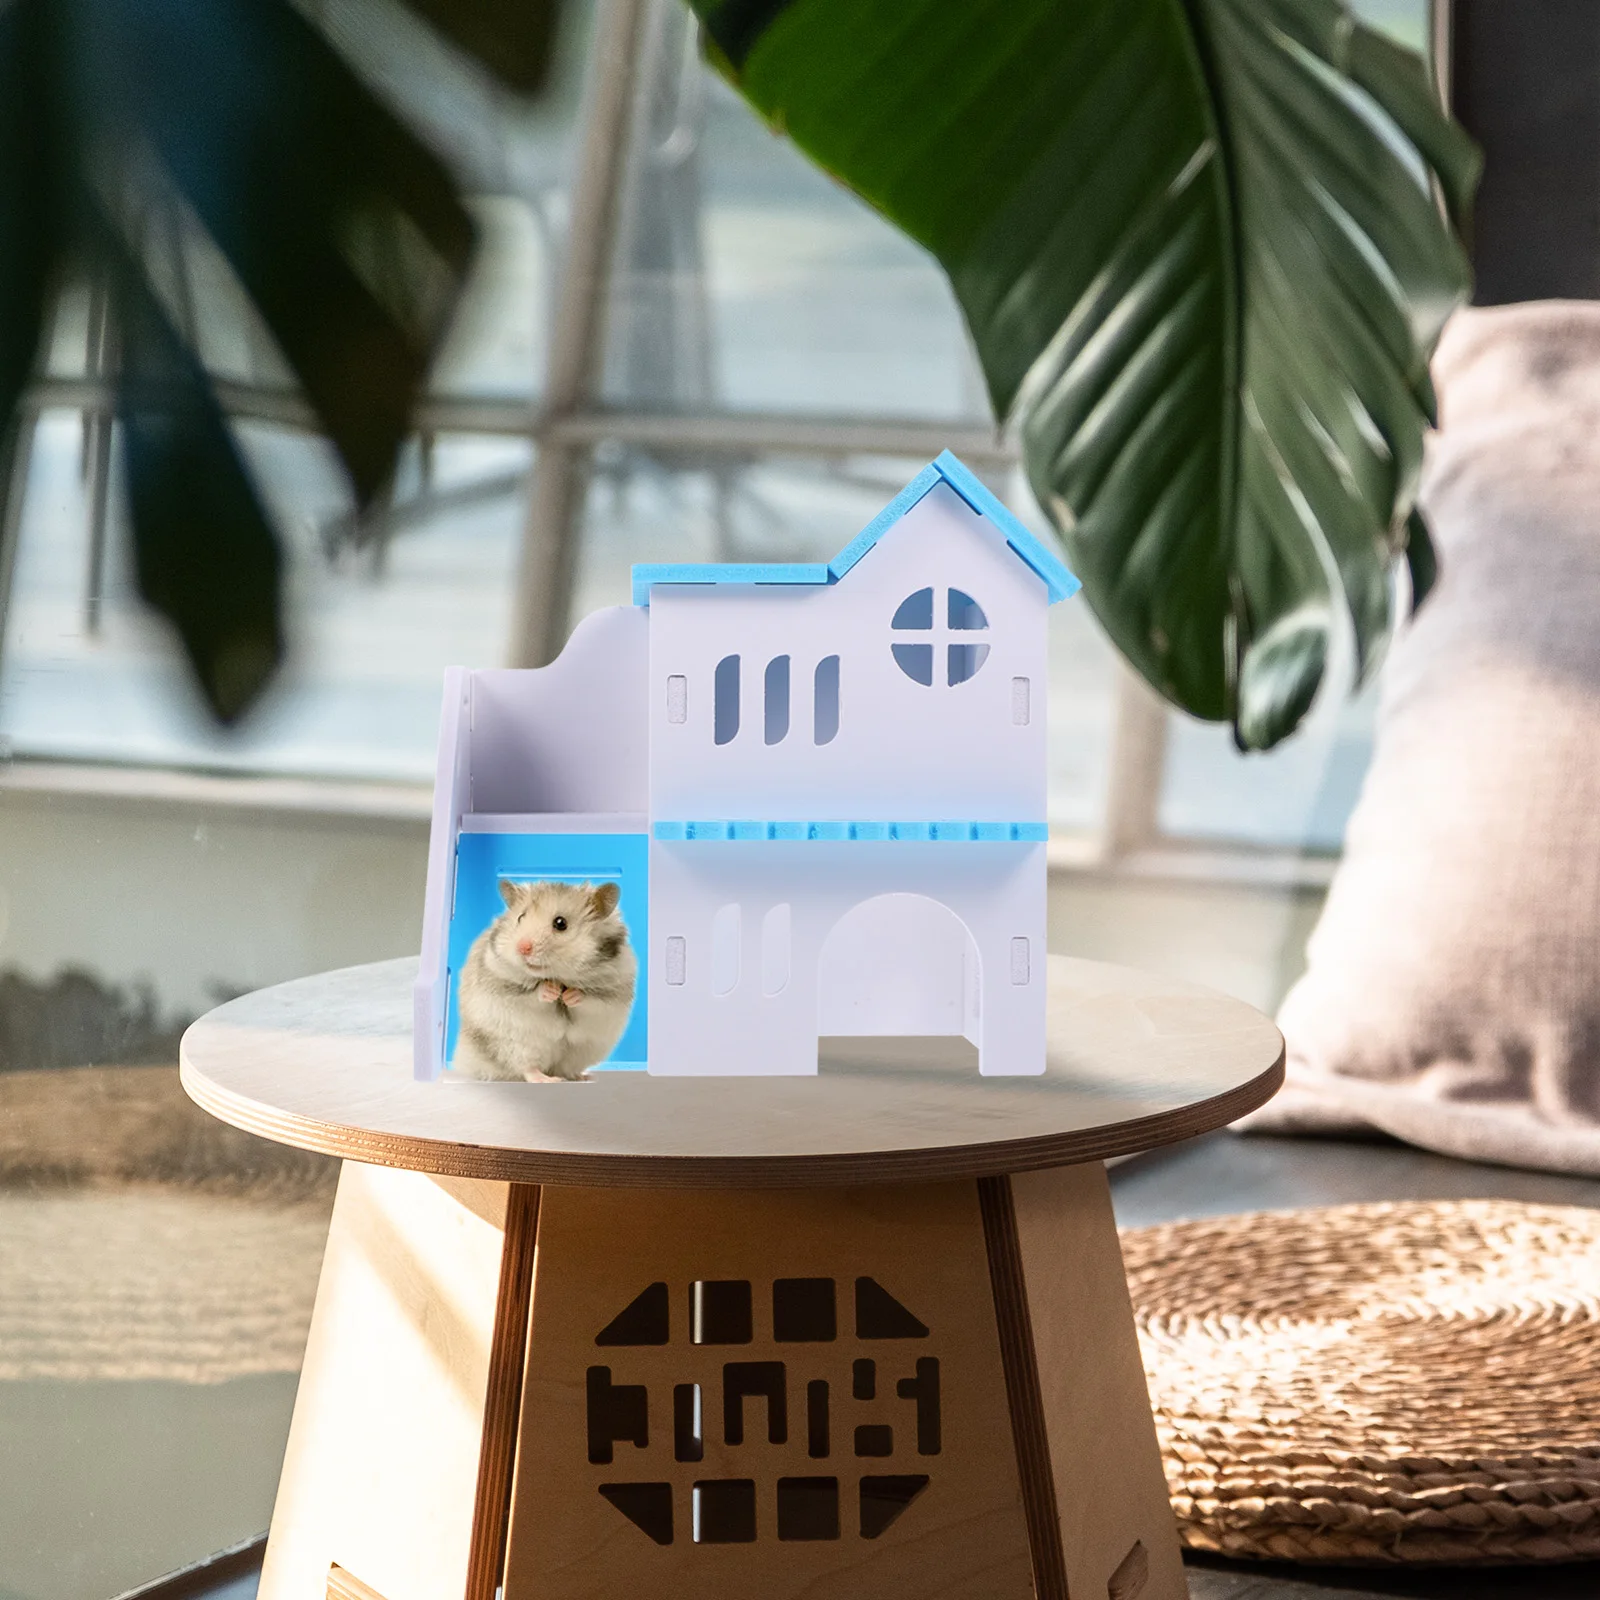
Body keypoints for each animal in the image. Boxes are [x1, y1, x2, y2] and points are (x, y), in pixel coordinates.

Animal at [454, 879, 636, 1082]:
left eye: (560, 923)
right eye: (520, 917)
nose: (522, 948)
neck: (558, 976)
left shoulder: (610, 992)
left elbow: (588, 999)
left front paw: (570, 996)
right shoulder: (504, 983)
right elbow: (532, 994)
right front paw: (551, 991)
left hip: (581, 1052)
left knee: (564, 1069)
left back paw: (581, 1076)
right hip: (515, 1045)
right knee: (527, 1068)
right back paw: (547, 1079)